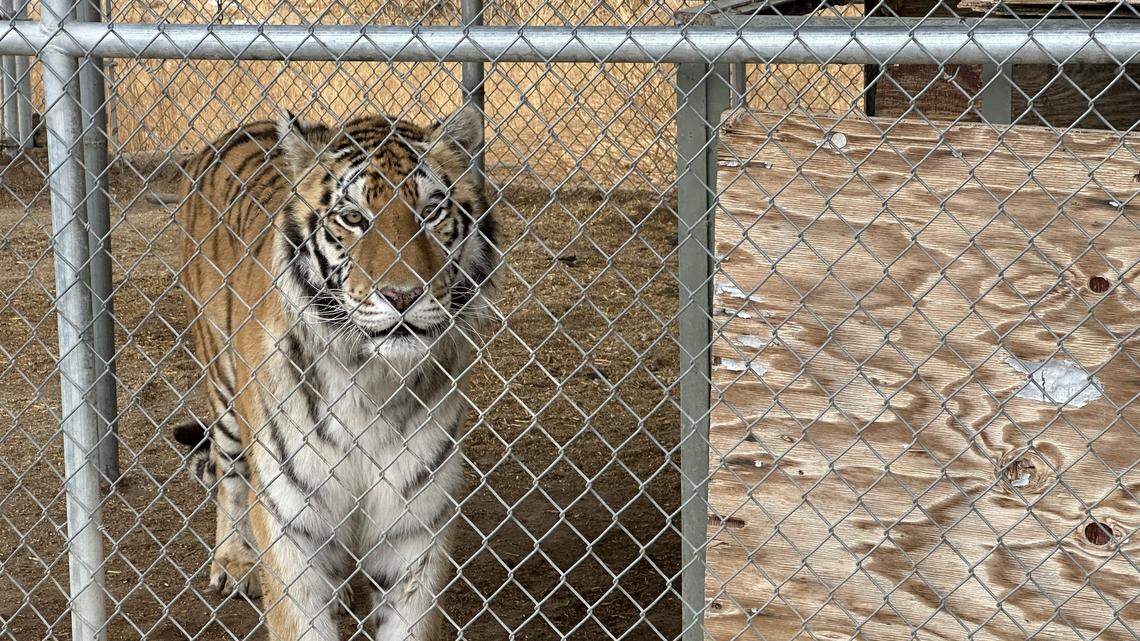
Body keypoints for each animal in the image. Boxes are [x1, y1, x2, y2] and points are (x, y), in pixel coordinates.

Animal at [170, 104, 498, 641]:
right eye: (353, 218)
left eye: (431, 212)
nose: (403, 295)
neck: (372, 380)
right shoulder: (290, 520)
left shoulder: (415, 527)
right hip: (222, 385)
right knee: (228, 473)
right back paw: (235, 562)